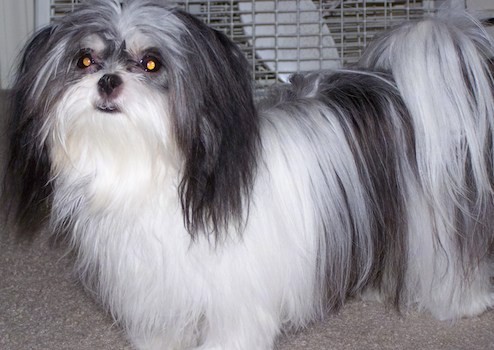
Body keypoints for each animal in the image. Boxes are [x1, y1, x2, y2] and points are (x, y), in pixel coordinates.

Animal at [4, 0, 494, 348]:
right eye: (85, 60)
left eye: (151, 64)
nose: (107, 81)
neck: (154, 173)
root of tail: (396, 89)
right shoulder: (156, 288)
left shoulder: (235, 300)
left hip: (433, 217)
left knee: (449, 260)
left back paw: (464, 302)